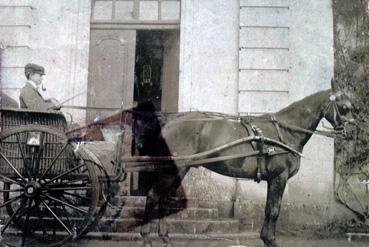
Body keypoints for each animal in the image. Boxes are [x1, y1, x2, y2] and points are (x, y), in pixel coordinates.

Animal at [134, 79, 356, 247]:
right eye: (344, 107)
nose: (353, 131)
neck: (285, 132)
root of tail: (168, 122)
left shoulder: (272, 179)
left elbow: (268, 208)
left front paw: (265, 238)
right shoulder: (280, 177)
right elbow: (275, 210)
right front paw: (271, 240)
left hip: (178, 171)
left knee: (163, 200)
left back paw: (165, 238)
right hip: (174, 171)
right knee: (153, 196)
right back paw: (146, 238)